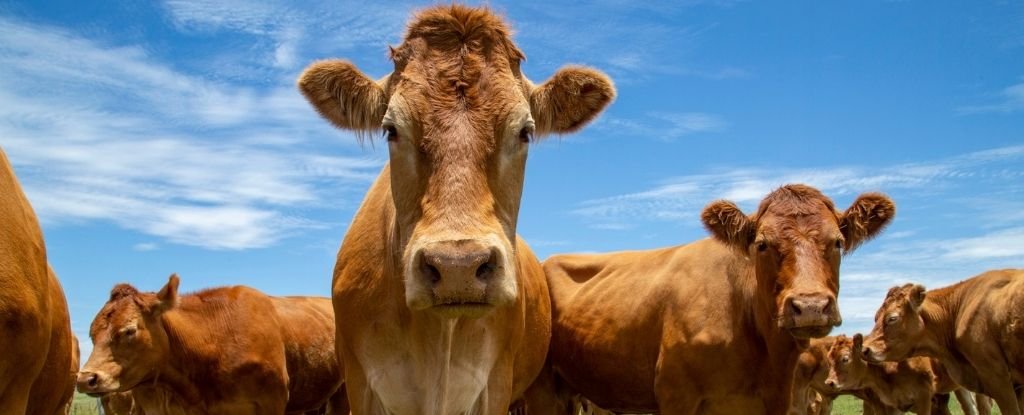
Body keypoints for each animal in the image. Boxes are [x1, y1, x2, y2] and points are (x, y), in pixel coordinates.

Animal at [524, 185, 892, 413]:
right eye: (762, 244)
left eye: (837, 242)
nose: (811, 306)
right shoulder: (676, 397)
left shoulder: (776, 402)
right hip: (543, 390)